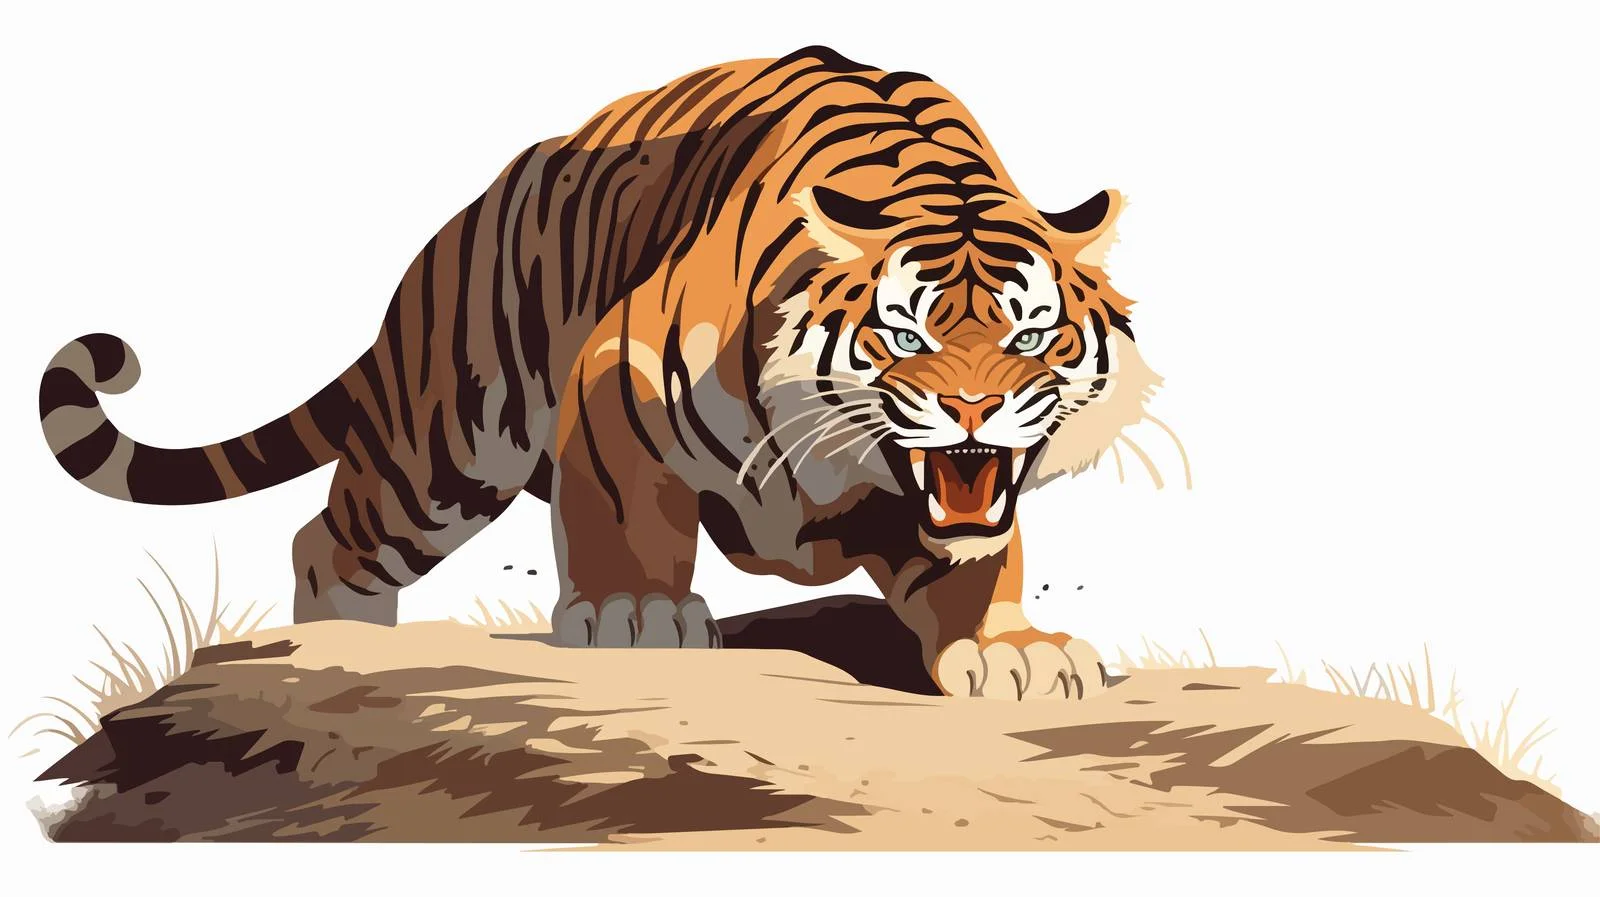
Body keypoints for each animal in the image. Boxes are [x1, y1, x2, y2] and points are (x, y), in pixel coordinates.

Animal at [38, 47, 1166, 699]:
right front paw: (636, 619)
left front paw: (1016, 652)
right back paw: (341, 655)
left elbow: (978, 566)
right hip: (441, 447)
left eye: (1034, 337)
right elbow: (628, 524)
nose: (973, 409)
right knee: (326, 541)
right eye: (903, 333)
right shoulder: (618, 379)